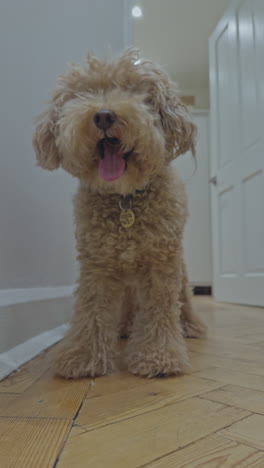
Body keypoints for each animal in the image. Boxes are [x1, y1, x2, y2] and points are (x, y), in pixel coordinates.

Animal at [33, 49, 206, 378]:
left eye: (136, 91)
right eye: (83, 93)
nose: (103, 115)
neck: (125, 199)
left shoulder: (161, 262)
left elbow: (161, 308)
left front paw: (158, 356)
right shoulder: (96, 263)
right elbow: (91, 308)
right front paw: (83, 356)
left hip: (178, 266)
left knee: (184, 296)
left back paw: (191, 326)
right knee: (128, 304)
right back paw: (125, 327)